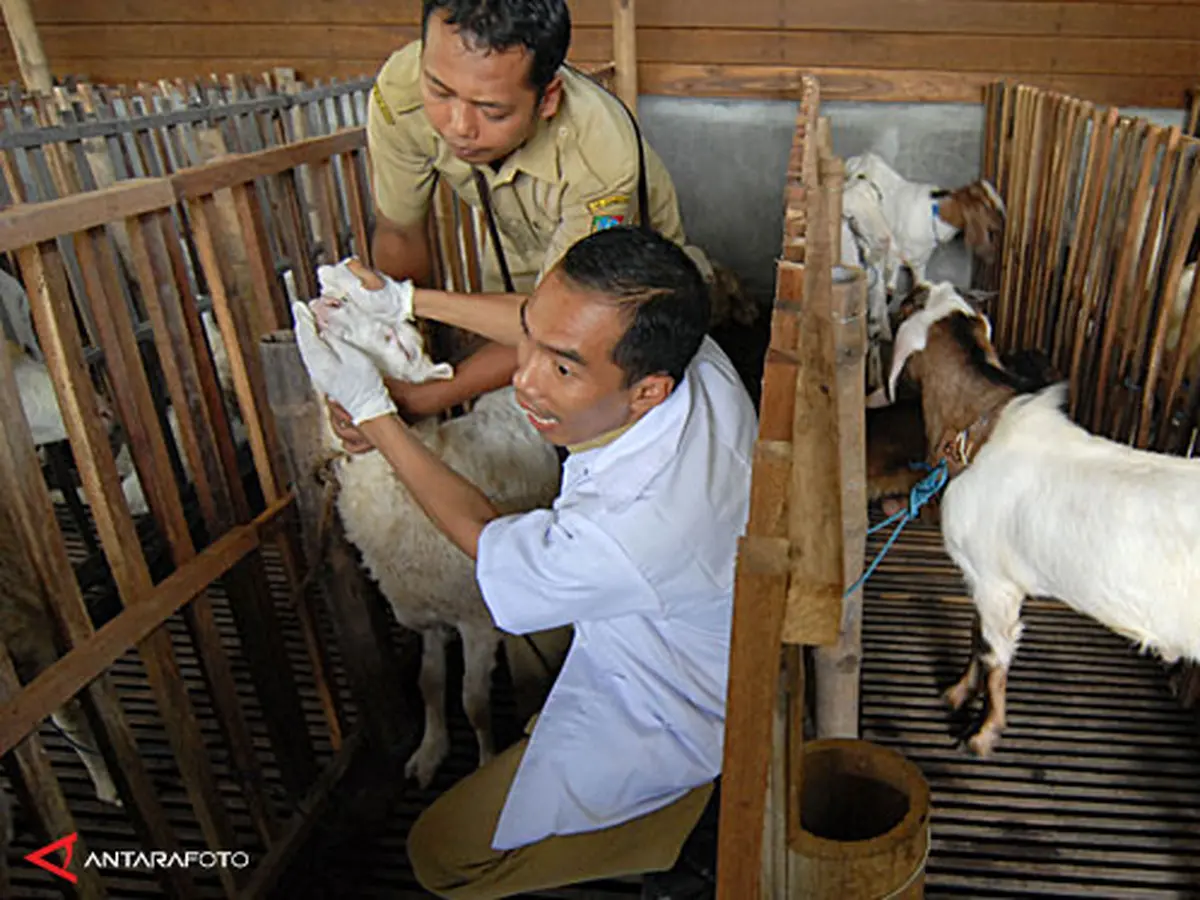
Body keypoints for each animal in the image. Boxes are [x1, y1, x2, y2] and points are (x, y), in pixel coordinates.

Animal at [302, 262, 559, 787]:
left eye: (395, 342)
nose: (328, 303)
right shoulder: (426, 615)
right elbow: (430, 684)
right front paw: (430, 751)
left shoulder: (477, 617)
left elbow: (473, 701)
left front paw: (483, 763)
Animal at [883, 283, 1200, 763]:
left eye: (907, 305)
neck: (979, 430)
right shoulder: (984, 577)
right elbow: (977, 637)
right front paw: (956, 694)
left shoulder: (996, 583)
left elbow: (994, 654)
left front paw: (983, 733)